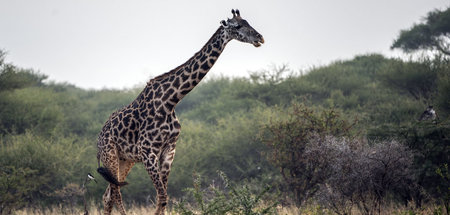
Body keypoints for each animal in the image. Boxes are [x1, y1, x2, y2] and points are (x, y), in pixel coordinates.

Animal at [95, 8, 264, 215]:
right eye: (238, 26)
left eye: (249, 22)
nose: (260, 38)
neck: (170, 101)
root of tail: (99, 138)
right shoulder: (148, 152)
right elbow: (162, 197)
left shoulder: (169, 150)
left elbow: (163, 199)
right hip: (110, 155)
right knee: (116, 194)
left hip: (125, 159)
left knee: (108, 195)